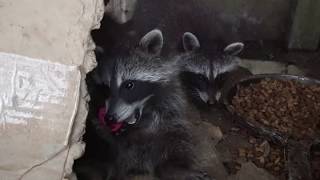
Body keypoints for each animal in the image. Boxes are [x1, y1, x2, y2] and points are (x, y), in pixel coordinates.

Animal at [90, 29, 212, 180]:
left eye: (129, 85)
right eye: (106, 88)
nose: (110, 118)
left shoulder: (172, 91)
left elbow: (169, 112)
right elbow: (97, 119)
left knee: (178, 137)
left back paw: (174, 167)